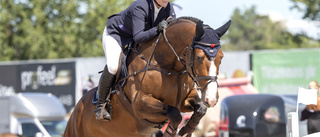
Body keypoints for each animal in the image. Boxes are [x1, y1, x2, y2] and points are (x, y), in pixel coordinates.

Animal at [64, 16, 230, 136]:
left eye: (221, 57)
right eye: (199, 58)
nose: (212, 99)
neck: (168, 67)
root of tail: (75, 111)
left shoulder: (184, 100)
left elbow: (200, 109)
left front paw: (186, 130)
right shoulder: (141, 103)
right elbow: (174, 113)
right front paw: (170, 132)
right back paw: (101, 110)